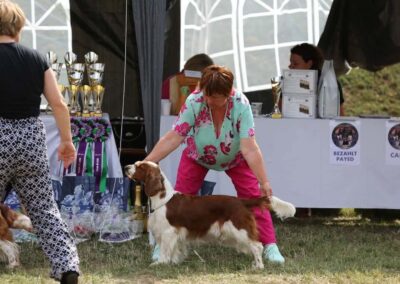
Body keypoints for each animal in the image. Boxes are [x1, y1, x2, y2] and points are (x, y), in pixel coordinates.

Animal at [126, 161, 296, 270]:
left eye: (140, 166)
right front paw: (173, 262)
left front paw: (160, 263)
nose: (126, 166)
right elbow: (173, 250)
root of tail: (242, 201)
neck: (163, 199)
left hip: (239, 229)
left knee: (257, 246)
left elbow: (165, 250)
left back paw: (258, 266)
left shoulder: (168, 232)